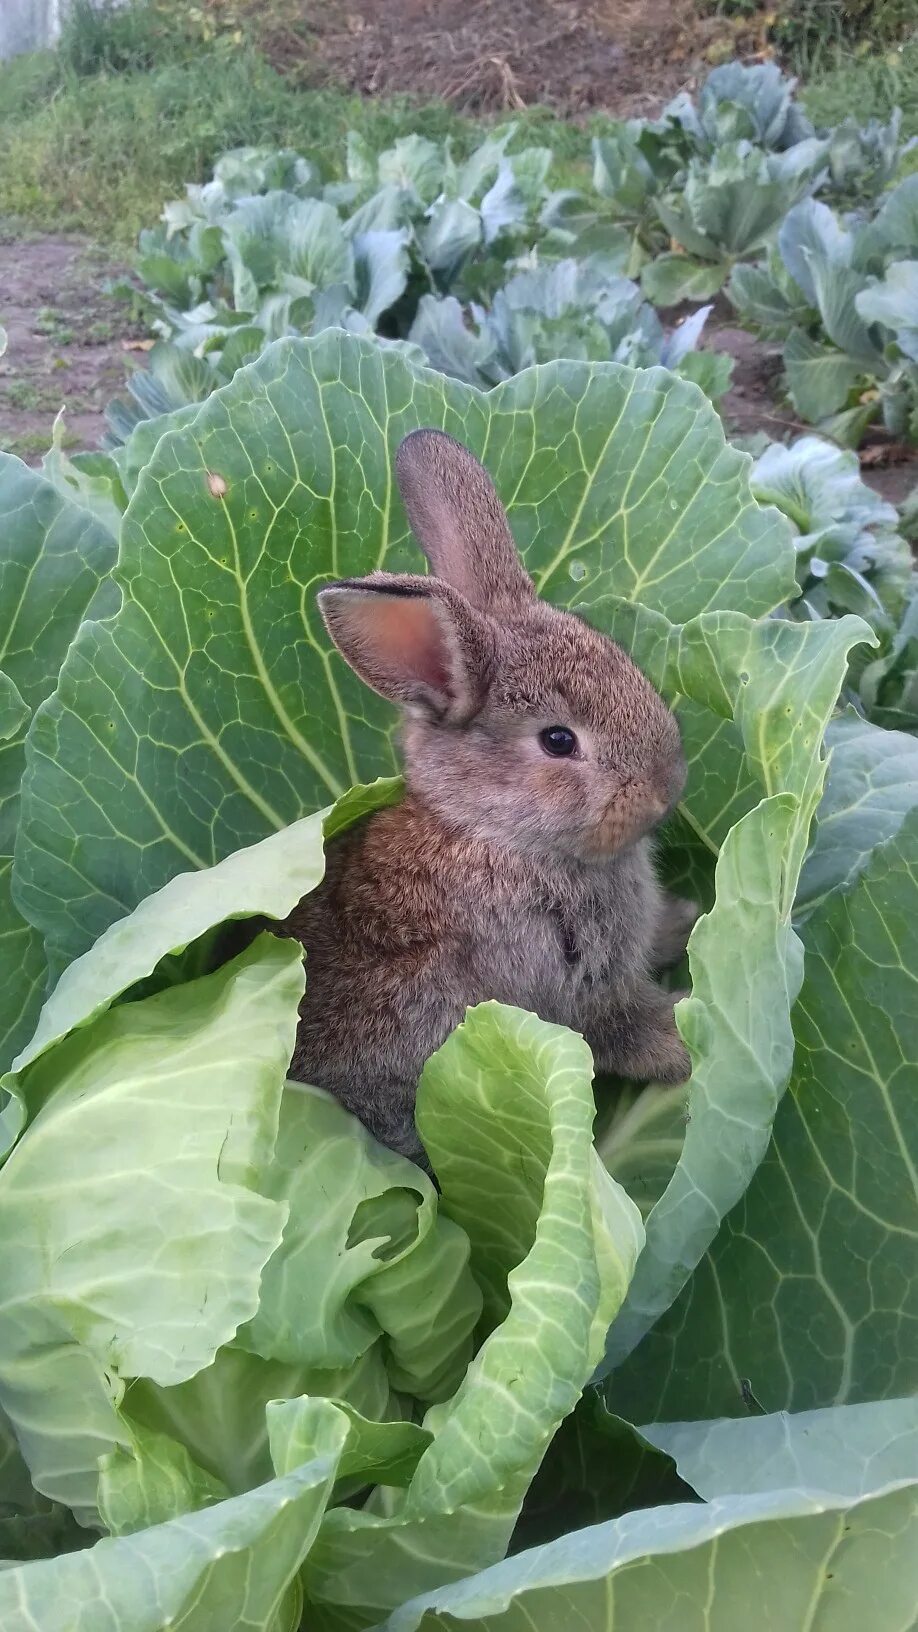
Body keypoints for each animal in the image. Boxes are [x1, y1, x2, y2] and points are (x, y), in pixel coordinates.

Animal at [279, 421, 692, 1161]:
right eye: (558, 741)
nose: (666, 789)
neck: (493, 831)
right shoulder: (573, 985)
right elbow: (626, 1027)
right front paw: (686, 1044)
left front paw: (688, 920)